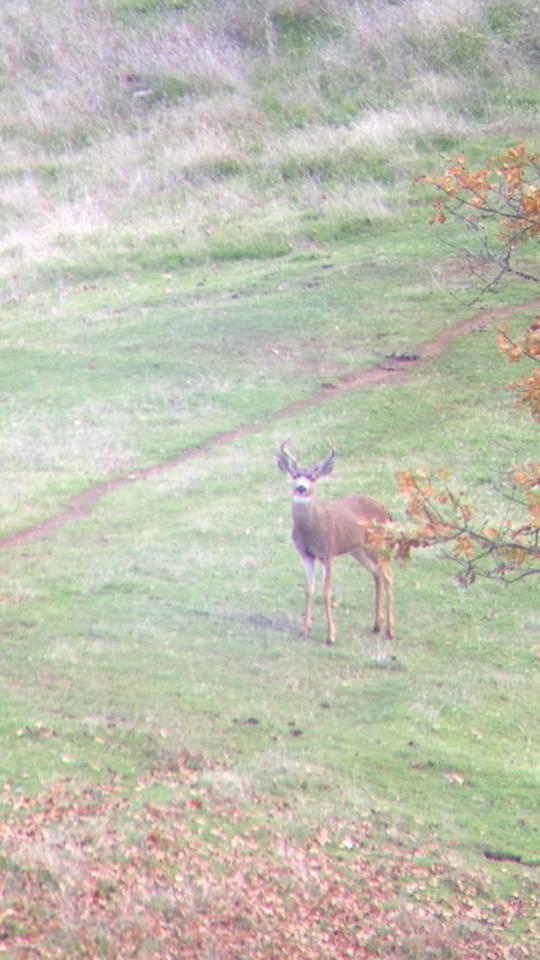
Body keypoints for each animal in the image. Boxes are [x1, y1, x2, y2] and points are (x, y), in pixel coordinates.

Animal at [276, 444, 394, 660]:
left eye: (313, 477)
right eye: (295, 475)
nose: (301, 488)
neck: (312, 528)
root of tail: (385, 508)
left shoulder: (328, 552)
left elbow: (326, 593)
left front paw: (330, 636)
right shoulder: (306, 555)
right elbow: (309, 590)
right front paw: (304, 632)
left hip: (378, 543)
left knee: (388, 575)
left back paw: (390, 631)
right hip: (359, 549)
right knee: (377, 573)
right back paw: (376, 626)